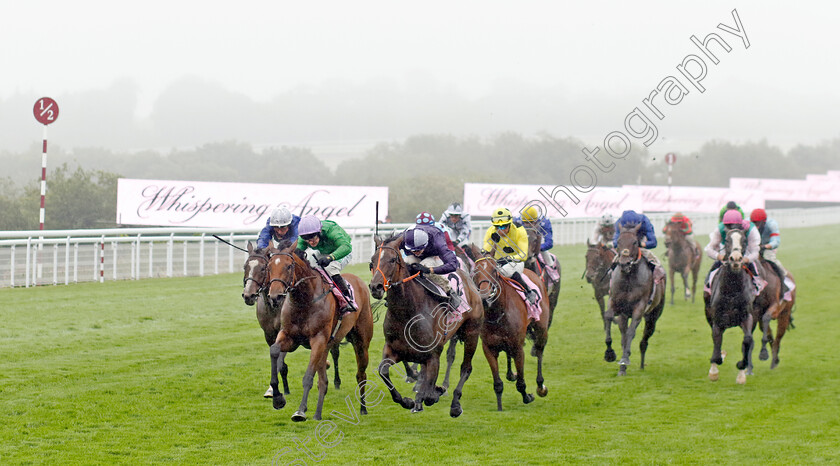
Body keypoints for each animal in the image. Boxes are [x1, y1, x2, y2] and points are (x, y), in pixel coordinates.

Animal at [264, 244, 372, 422]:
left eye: (289, 266)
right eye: (269, 267)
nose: (275, 296)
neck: (304, 301)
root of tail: (359, 282)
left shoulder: (318, 340)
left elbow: (308, 377)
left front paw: (300, 411)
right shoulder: (290, 337)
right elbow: (274, 351)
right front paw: (278, 398)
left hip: (361, 342)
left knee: (360, 374)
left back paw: (363, 408)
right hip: (326, 348)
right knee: (324, 381)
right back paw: (318, 414)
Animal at [370, 235, 482, 416]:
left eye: (393, 259)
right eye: (372, 261)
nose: (376, 287)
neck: (407, 312)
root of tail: (468, 278)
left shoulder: (433, 354)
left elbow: (429, 395)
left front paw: (435, 392)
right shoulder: (393, 349)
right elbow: (383, 371)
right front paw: (407, 401)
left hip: (472, 332)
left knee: (466, 367)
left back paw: (455, 404)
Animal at [470, 253, 548, 410]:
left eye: (494, 270)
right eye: (475, 271)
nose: (485, 297)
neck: (497, 313)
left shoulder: (518, 347)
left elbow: (521, 383)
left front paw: (527, 397)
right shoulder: (489, 348)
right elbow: (498, 384)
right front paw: (499, 408)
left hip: (542, 329)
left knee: (539, 351)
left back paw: (540, 385)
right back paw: (511, 374)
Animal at [608, 224, 668, 376]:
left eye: (635, 242)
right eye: (619, 241)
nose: (624, 263)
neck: (629, 279)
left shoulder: (639, 307)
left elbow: (631, 333)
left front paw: (624, 360)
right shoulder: (616, 303)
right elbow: (609, 317)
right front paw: (610, 354)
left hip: (653, 316)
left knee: (644, 340)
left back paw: (640, 364)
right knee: (624, 336)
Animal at [704, 228, 756, 384]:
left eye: (744, 240)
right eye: (727, 240)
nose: (736, 259)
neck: (732, 289)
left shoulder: (747, 317)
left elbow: (747, 340)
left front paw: (741, 367)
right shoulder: (717, 320)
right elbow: (716, 343)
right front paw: (714, 370)